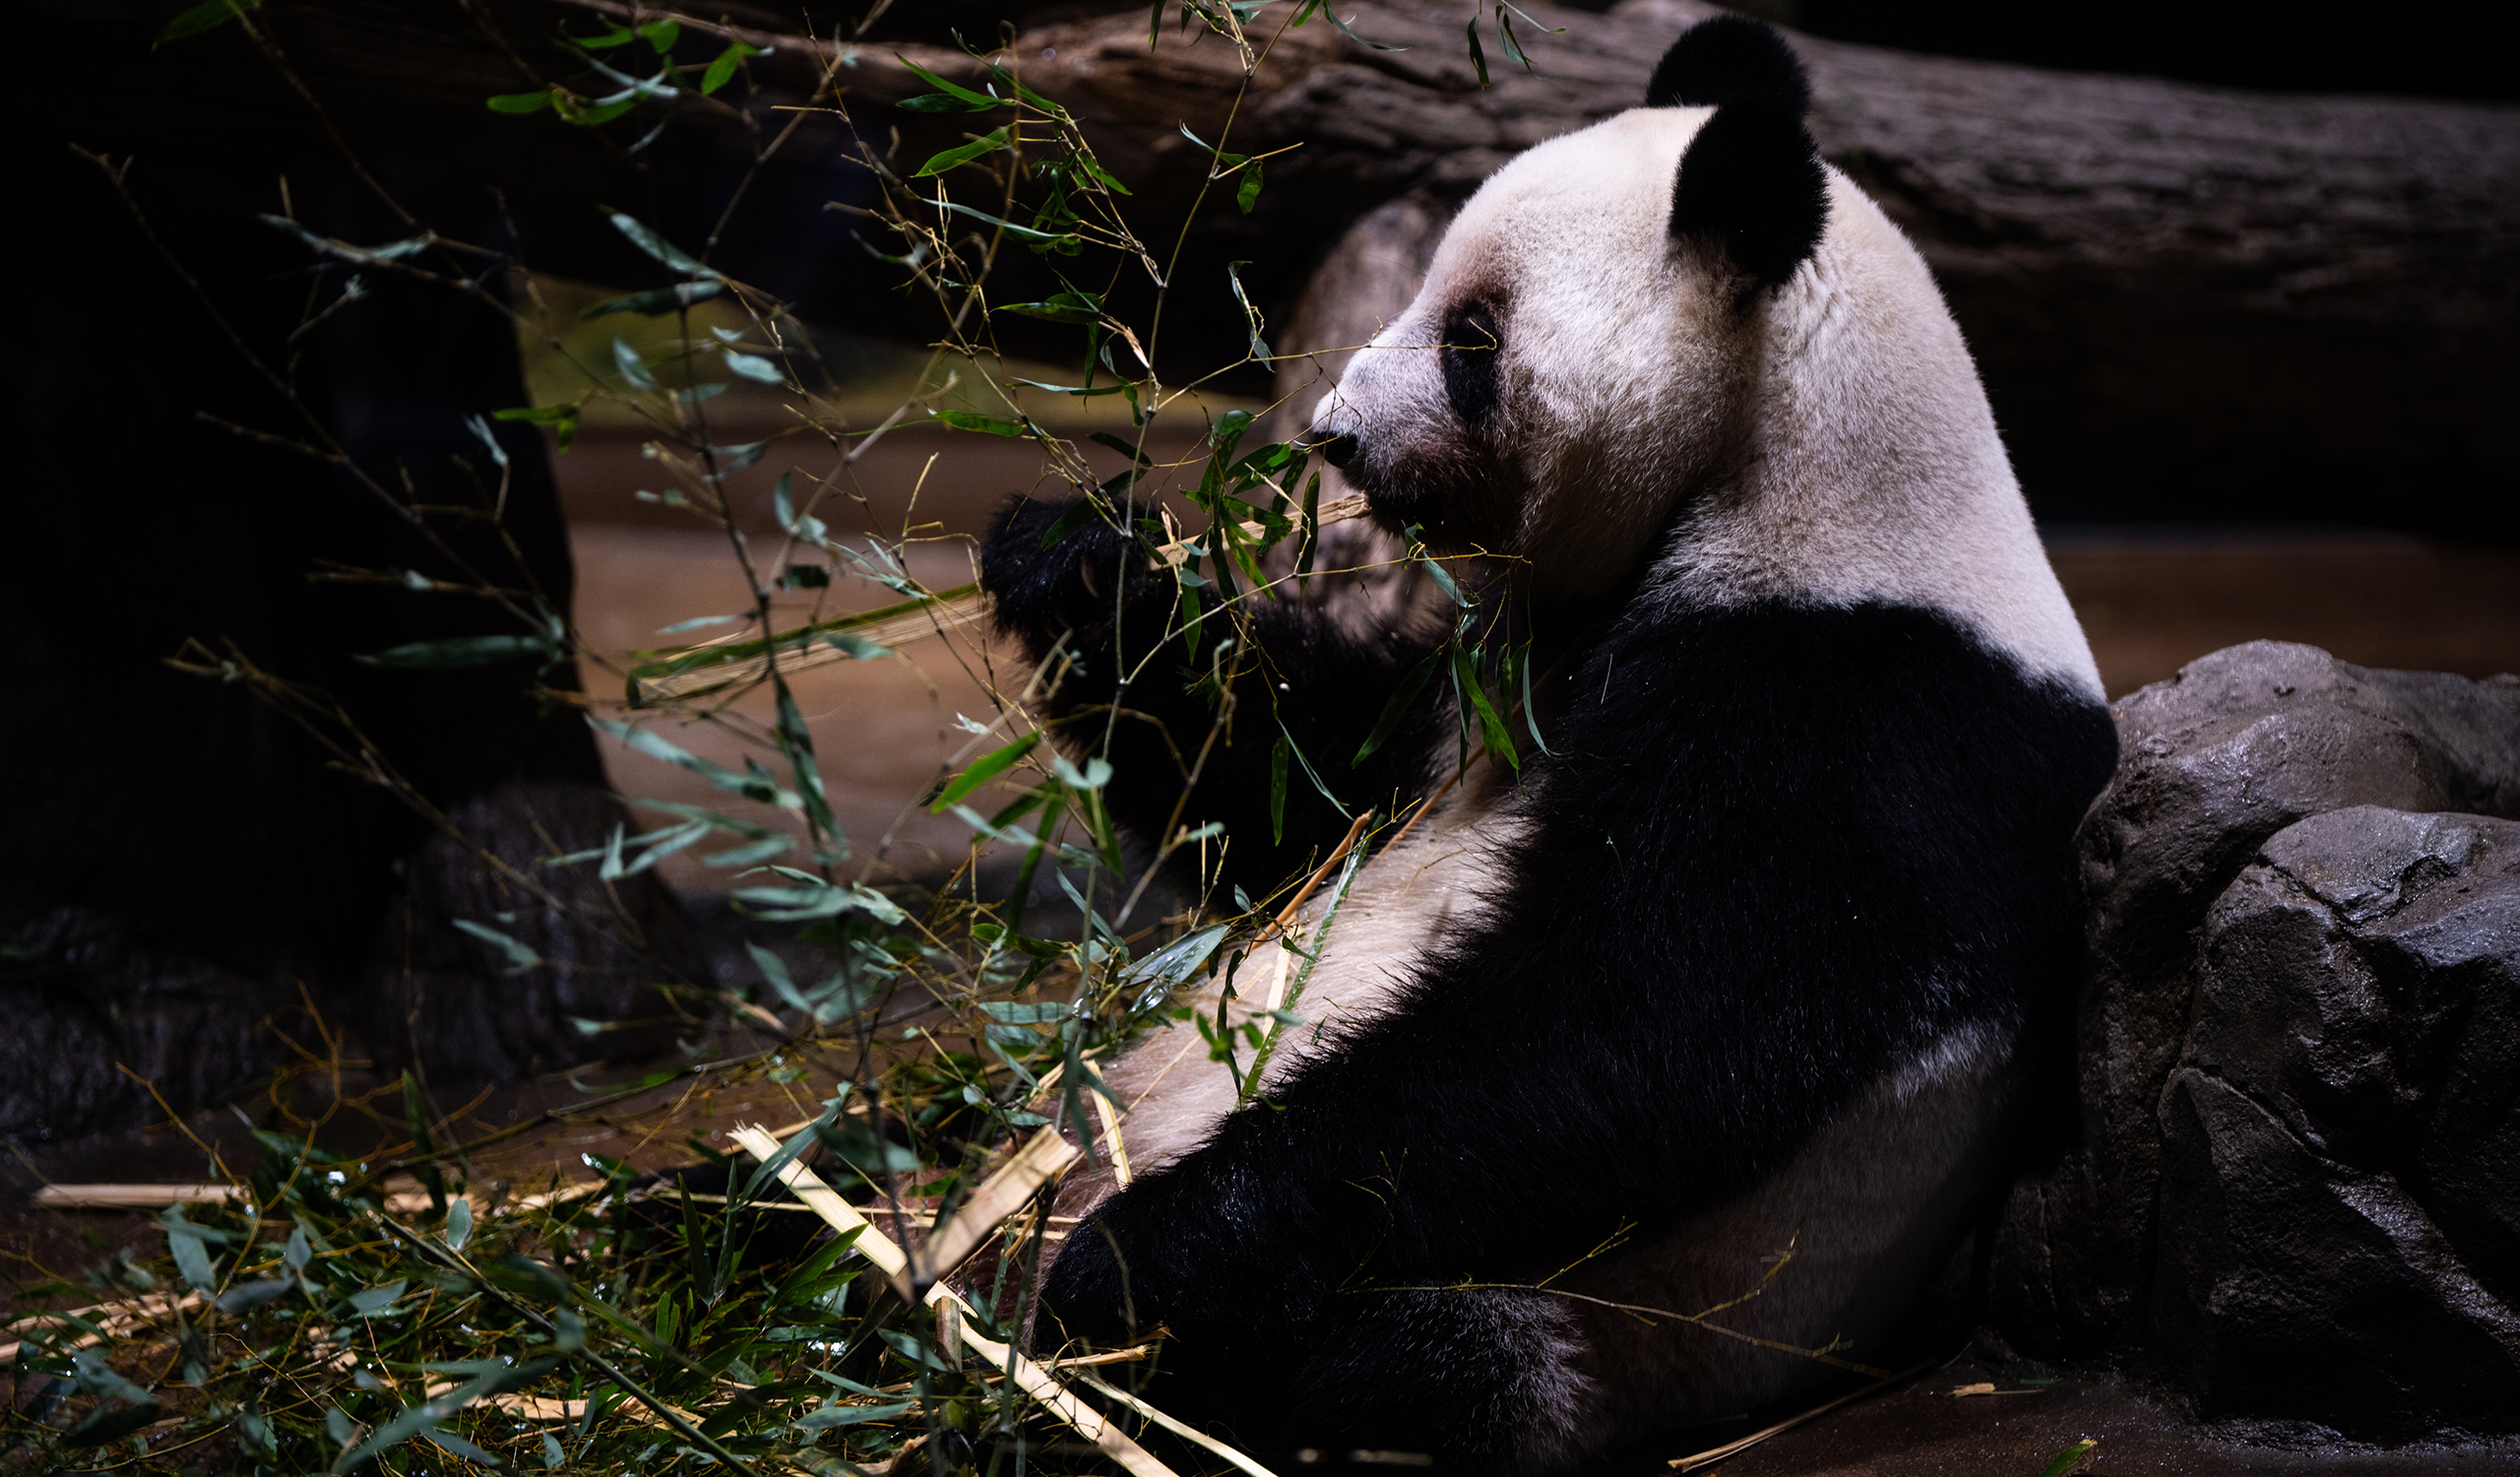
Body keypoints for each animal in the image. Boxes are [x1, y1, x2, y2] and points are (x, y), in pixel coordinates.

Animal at [975, 16, 2119, 1472]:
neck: (1795, 470)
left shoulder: (1862, 708)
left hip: (1572, 1341)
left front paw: (1133, 1263)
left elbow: (1629, 1031)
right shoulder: (1483, 677)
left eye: (1471, 339)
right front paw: (1080, 568)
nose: (1336, 435)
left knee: (1393, 1370)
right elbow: (1300, 792)